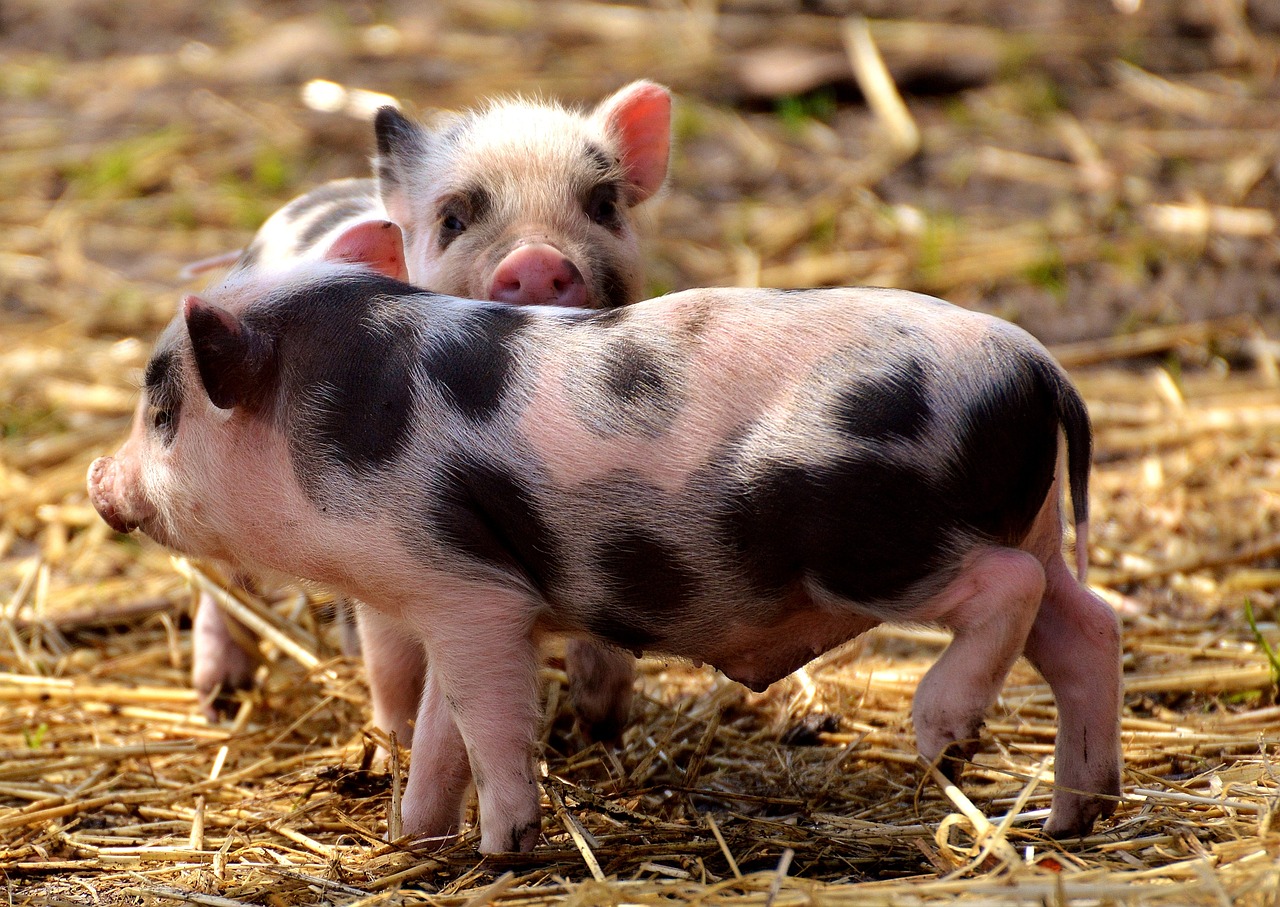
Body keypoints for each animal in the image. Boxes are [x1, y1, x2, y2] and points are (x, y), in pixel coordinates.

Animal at [88, 242, 1123, 853]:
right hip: (1026, 522)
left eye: (164, 413)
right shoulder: (448, 599)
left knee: (1010, 588)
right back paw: (1075, 816)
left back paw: (945, 739)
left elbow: (486, 723)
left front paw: (501, 849)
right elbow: (446, 726)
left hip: (878, 539)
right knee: (1089, 625)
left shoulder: (470, 591)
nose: (100, 478)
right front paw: (413, 842)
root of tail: (1040, 368)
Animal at [191, 80, 671, 739]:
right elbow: (394, 659)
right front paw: (395, 736)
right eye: (453, 220)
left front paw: (604, 721)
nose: (537, 259)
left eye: (603, 206)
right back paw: (219, 697)